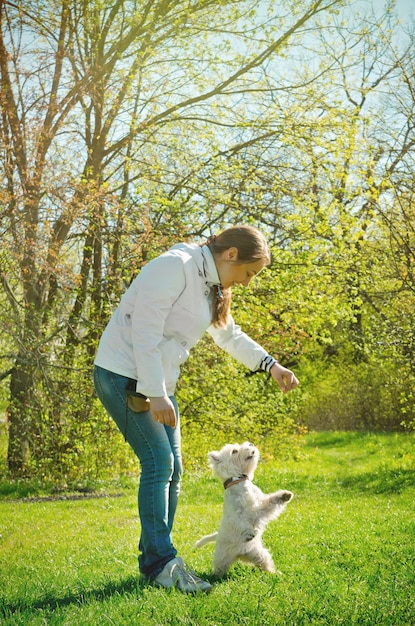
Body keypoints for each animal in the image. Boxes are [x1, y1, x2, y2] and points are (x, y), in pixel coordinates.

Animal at [194, 438, 294, 576]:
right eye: (234, 451)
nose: (251, 444)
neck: (239, 481)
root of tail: (240, 554)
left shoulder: (260, 506)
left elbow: (272, 501)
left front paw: (285, 495)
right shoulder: (236, 514)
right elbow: (241, 522)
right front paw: (250, 533)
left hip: (258, 553)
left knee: (265, 562)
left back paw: (274, 573)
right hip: (221, 558)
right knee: (219, 570)